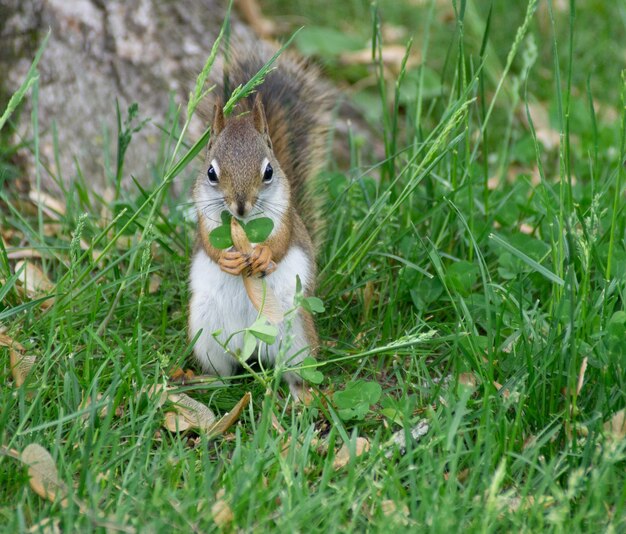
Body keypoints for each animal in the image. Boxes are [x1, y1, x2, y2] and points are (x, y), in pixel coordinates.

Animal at [186, 44, 330, 400]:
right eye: (211, 172)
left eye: (268, 171)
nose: (240, 206)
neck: (244, 227)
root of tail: (249, 344)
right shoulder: (204, 221)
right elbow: (209, 244)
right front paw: (226, 258)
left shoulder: (287, 218)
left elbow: (281, 243)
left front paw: (264, 255)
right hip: (206, 332)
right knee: (223, 371)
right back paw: (208, 382)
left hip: (296, 333)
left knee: (294, 372)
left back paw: (300, 395)